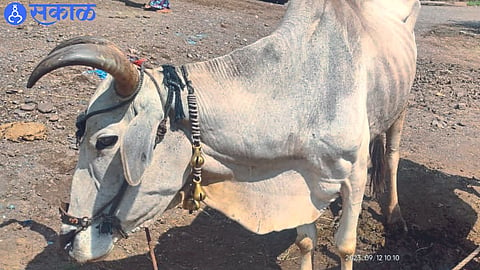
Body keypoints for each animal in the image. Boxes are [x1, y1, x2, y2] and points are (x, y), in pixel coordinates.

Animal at [27, 0, 420, 268]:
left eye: (105, 141)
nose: (67, 240)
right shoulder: (302, 181)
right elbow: (306, 241)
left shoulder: (354, 174)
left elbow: (345, 246)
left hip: (401, 109)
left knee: (391, 155)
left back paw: (396, 216)